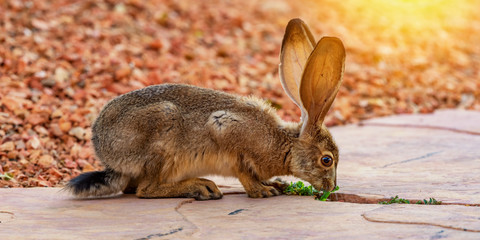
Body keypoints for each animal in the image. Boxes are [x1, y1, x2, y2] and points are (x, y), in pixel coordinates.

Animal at [64, 17, 344, 200]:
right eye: (326, 159)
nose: (331, 187)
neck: (285, 145)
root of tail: (107, 155)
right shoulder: (228, 131)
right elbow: (243, 171)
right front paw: (263, 190)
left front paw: (275, 183)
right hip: (162, 132)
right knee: (145, 190)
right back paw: (201, 187)